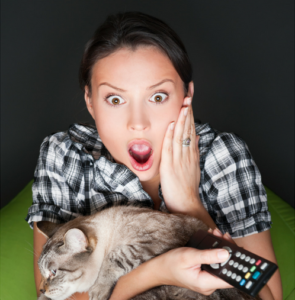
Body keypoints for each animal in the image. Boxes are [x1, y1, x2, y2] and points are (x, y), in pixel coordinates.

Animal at [37, 205, 262, 298]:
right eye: (42, 274)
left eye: (54, 273)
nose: (41, 290)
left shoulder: (152, 241)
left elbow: (115, 258)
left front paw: (98, 290)